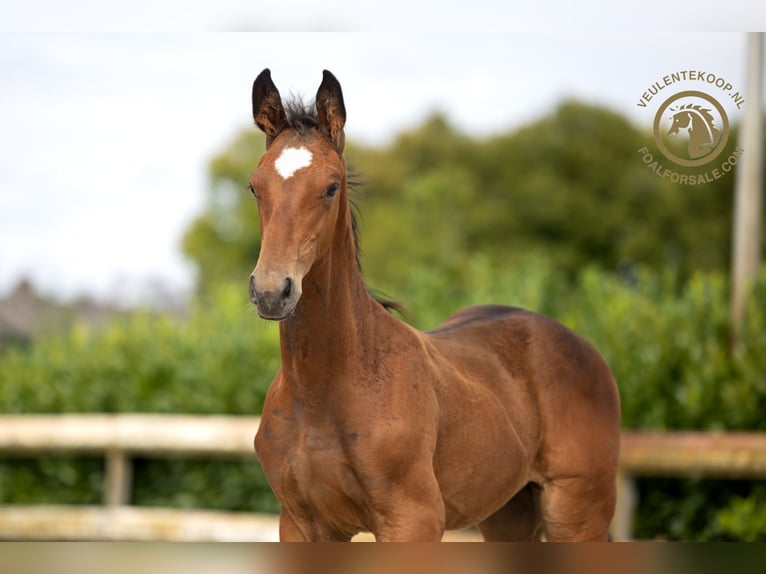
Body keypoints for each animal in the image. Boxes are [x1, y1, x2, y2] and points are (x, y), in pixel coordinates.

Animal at [249, 70, 620, 544]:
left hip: (578, 511)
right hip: (508, 511)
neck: (322, 392)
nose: (271, 291)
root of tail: (584, 348)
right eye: (255, 186)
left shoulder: (413, 520)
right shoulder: (301, 524)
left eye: (331, 187)